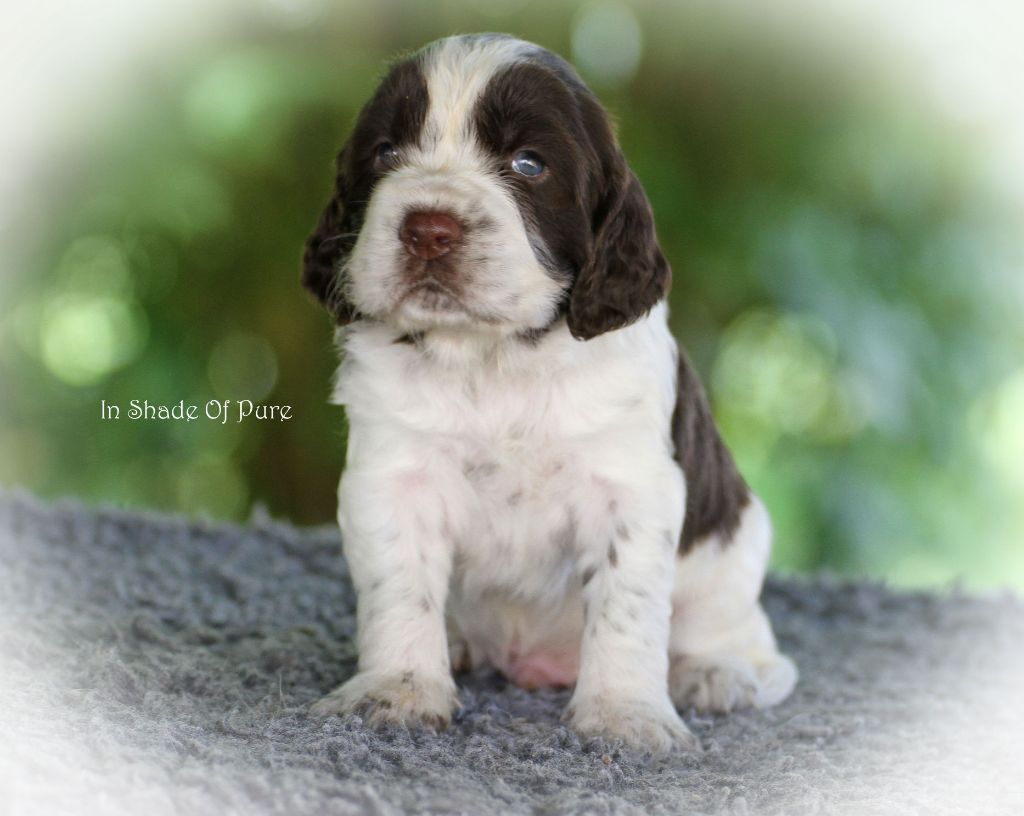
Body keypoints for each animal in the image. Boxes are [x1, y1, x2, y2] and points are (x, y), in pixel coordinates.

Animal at [299, 35, 794, 753]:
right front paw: (398, 689)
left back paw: (716, 672)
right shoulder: (393, 479)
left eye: (528, 164)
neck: (494, 358)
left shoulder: (632, 488)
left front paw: (623, 713)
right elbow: (400, 588)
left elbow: (626, 606)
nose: (428, 229)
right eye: (386, 153)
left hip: (736, 543)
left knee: (736, 632)